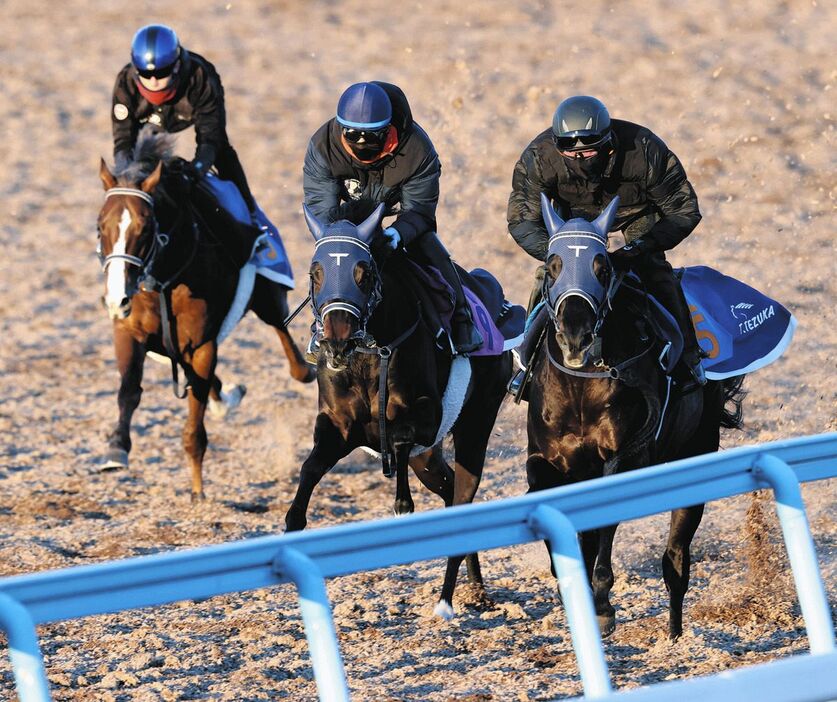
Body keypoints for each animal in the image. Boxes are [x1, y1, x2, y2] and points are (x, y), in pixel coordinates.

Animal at [94, 129, 316, 504]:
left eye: (145, 227)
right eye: (100, 226)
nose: (116, 297)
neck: (164, 280)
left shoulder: (202, 345)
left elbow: (194, 427)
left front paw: (198, 488)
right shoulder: (129, 330)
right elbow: (129, 390)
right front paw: (115, 449)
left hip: (268, 297)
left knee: (287, 344)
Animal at [284, 201, 512, 620]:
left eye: (364, 272)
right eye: (315, 271)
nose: (338, 340)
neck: (369, 355)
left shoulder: (426, 419)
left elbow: (402, 437)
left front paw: (401, 503)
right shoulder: (339, 428)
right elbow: (309, 469)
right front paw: (294, 522)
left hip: (476, 423)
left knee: (463, 495)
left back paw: (446, 601)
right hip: (430, 460)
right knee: (450, 490)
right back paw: (475, 589)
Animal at [524, 195, 740, 640]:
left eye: (603, 267)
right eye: (553, 265)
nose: (576, 337)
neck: (582, 386)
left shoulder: (624, 458)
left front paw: (603, 606)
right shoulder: (548, 460)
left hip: (695, 457)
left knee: (675, 562)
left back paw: (674, 637)